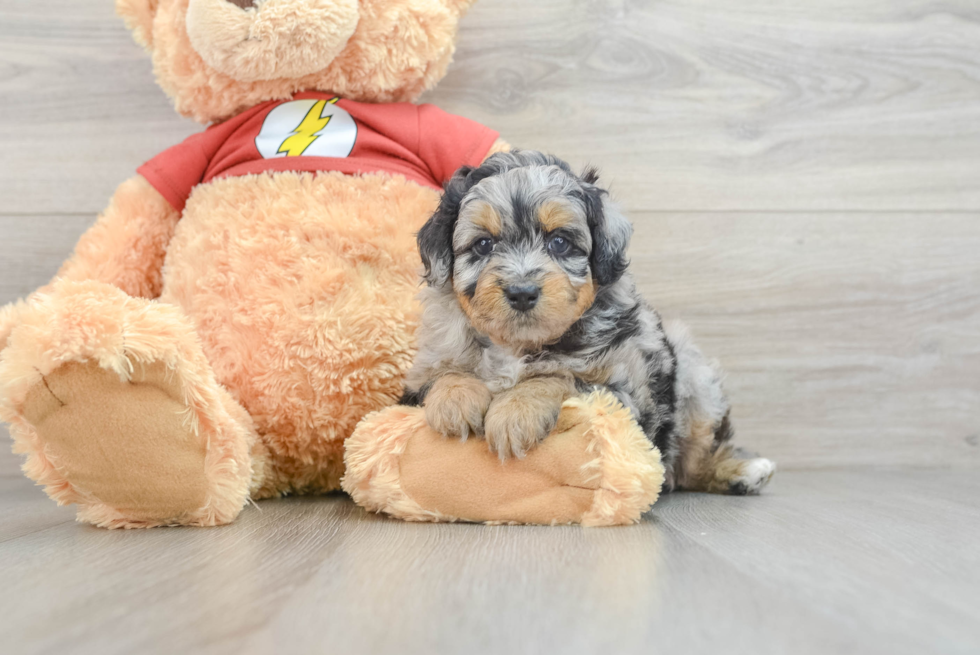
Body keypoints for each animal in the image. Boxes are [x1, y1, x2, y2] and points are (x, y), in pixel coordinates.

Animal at [402, 151, 776, 494]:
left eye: (559, 242)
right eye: (483, 244)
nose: (522, 292)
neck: (517, 345)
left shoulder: (625, 398)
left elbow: (559, 376)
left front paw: (515, 411)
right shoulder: (413, 385)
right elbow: (444, 374)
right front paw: (455, 401)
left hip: (695, 380)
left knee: (695, 460)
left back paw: (744, 471)